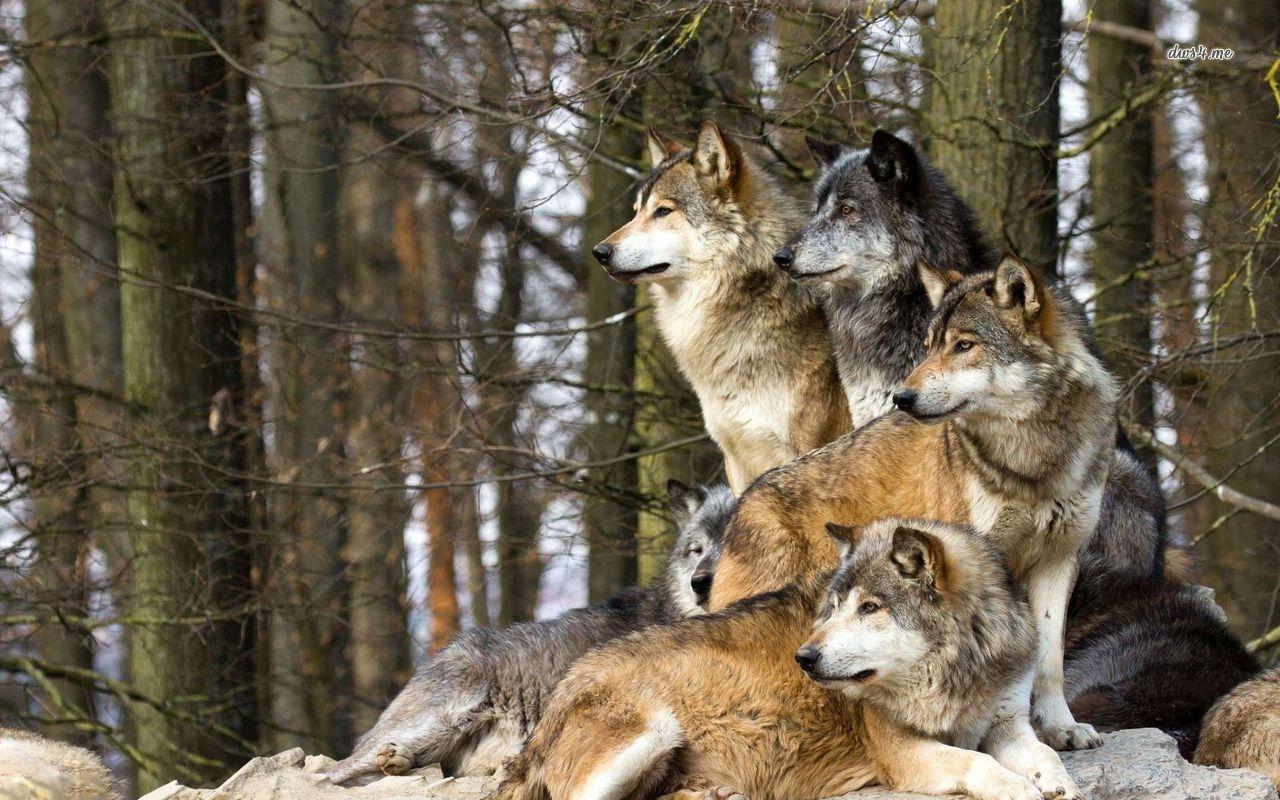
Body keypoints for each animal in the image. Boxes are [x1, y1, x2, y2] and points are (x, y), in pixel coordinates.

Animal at [492, 518, 1078, 800]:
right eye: (833, 608)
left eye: (870, 608)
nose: (805, 657)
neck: (957, 671)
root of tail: (556, 697)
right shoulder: (902, 753)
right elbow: (975, 763)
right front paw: (1018, 789)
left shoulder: (1006, 723)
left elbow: (1044, 755)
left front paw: (1059, 784)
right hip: (653, 731)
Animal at [708, 257, 1117, 751]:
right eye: (927, 347)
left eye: (964, 346)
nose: (901, 397)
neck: (1032, 461)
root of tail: (742, 501)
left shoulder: (1059, 560)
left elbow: (1050, 660)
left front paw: (1061, 728)